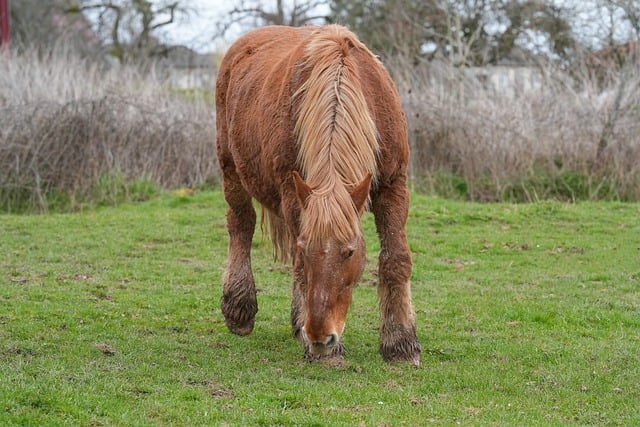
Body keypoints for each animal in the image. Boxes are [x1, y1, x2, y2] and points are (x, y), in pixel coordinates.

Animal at [218, 24, 422, 364]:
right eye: (306, 250)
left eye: (350, 252)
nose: (320, 337)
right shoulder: (292, 191)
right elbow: (299, 266)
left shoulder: (394, 185)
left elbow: (396, 259)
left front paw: (401, 342)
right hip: (230, 167)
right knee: (241, 225)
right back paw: (240, 308)